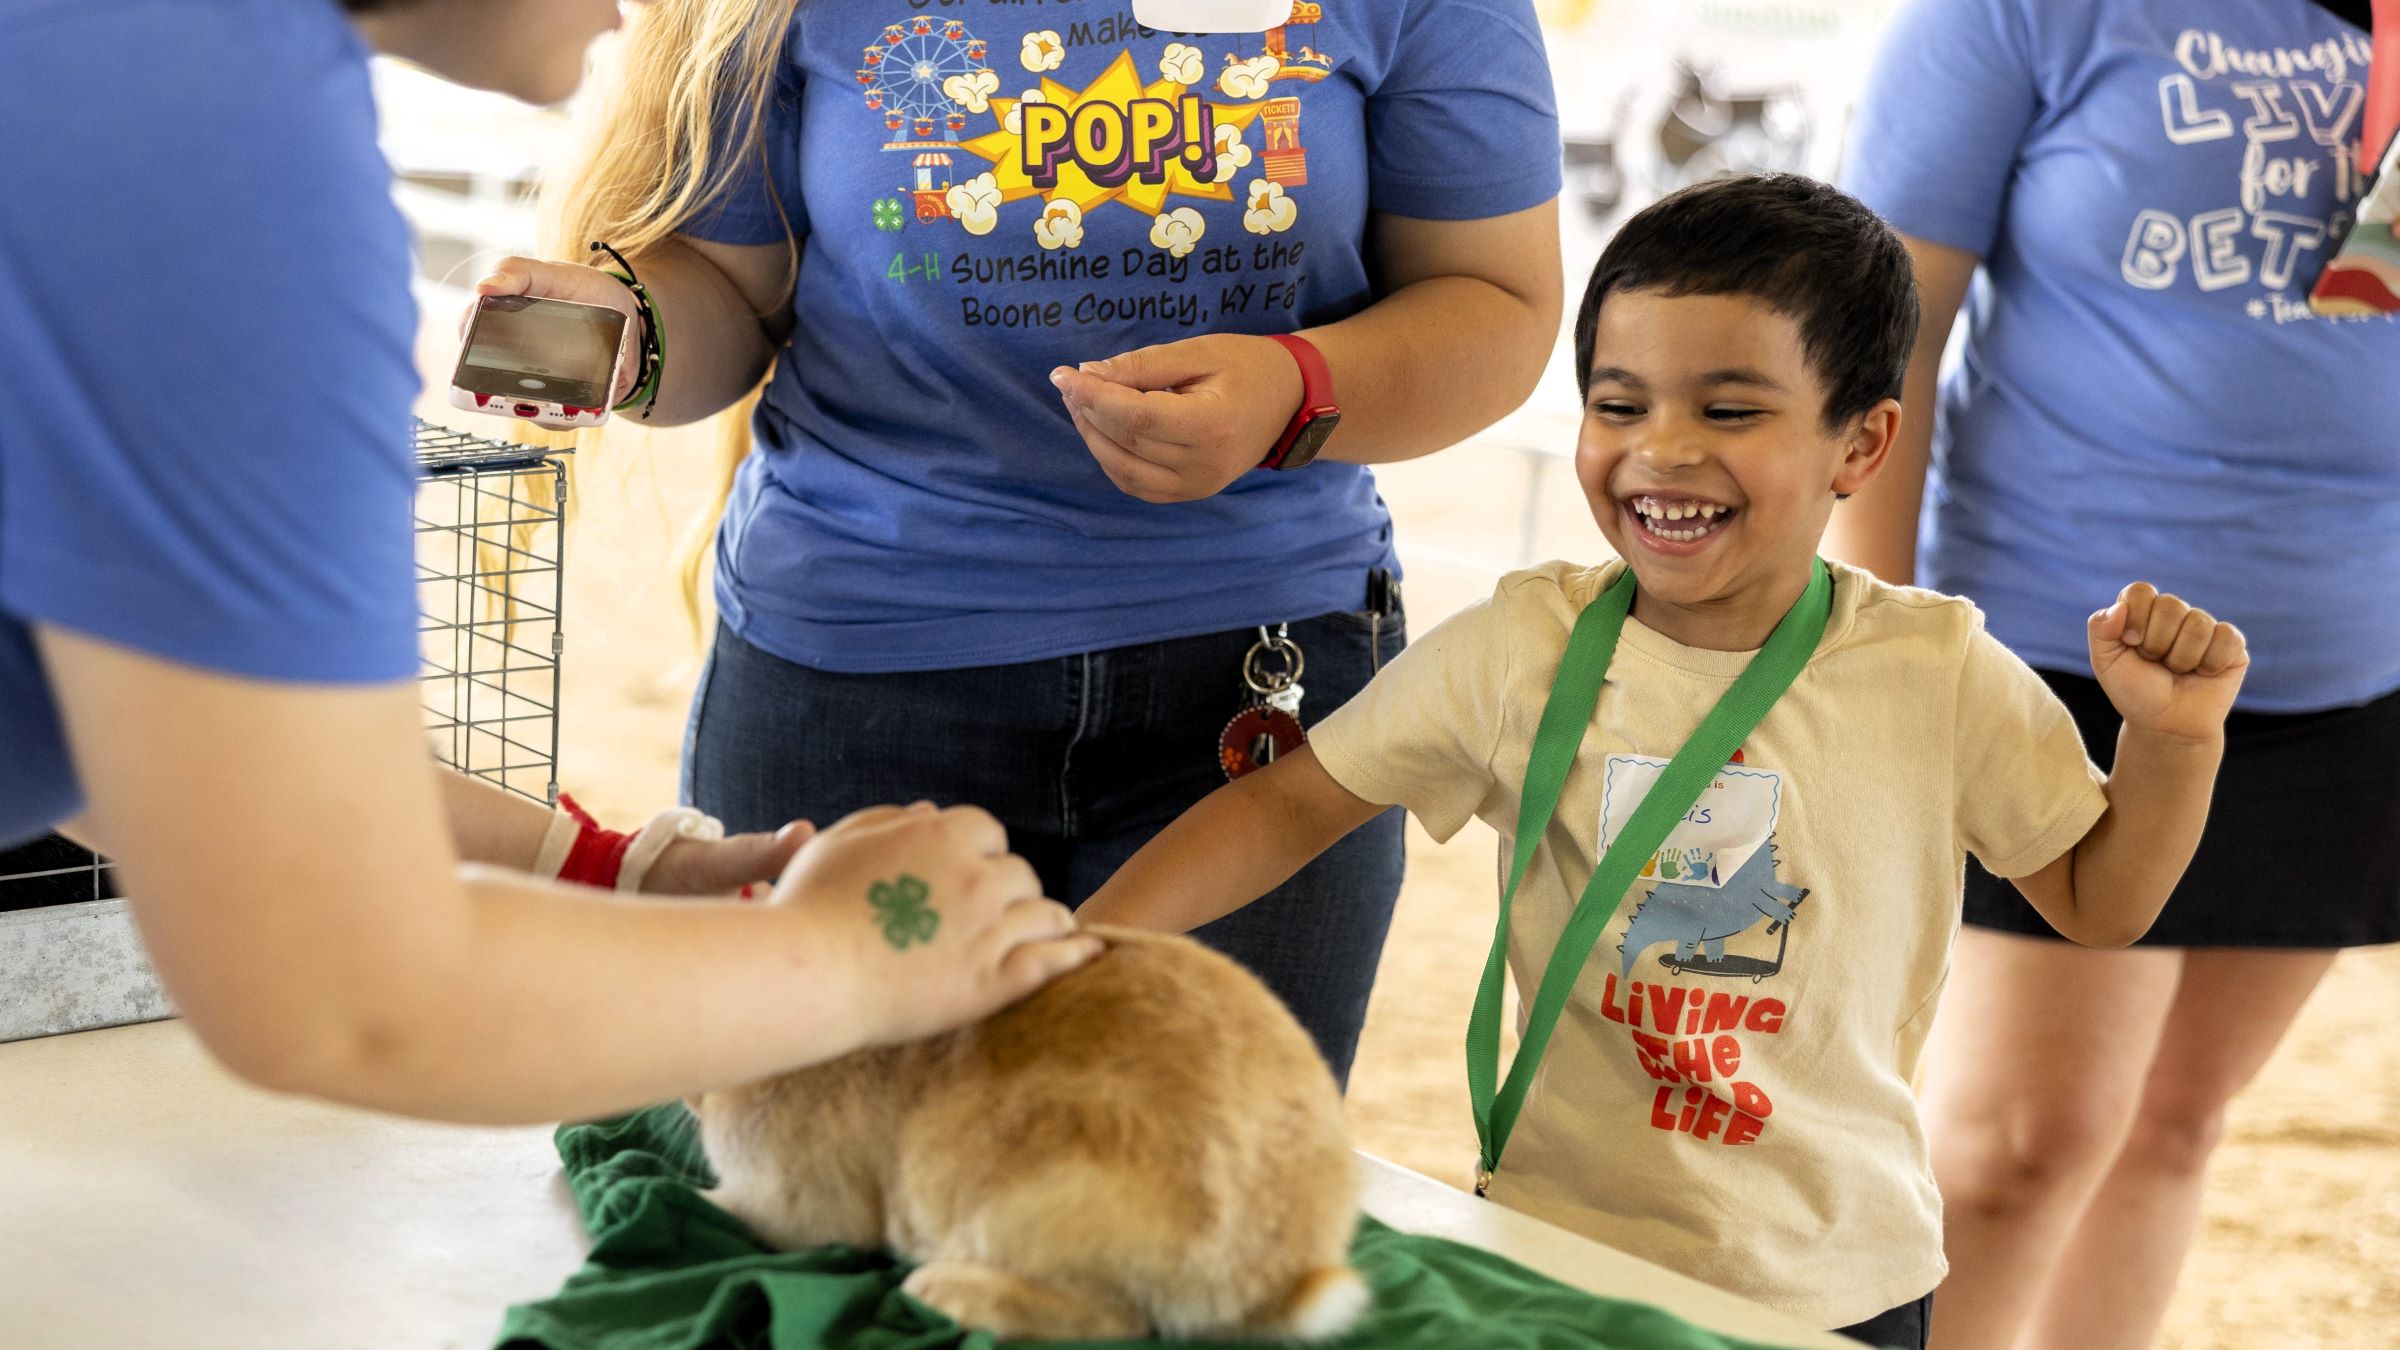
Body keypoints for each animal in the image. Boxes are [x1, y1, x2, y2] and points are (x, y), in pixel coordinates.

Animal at [696, 922, 1372, 1335]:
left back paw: (940, 1292)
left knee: (1119, 1322)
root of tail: (1279, 1275)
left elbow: (767, 1216)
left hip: (1032, 1197)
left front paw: (697, 1196)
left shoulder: (795, 1198)